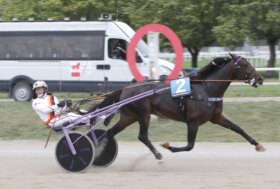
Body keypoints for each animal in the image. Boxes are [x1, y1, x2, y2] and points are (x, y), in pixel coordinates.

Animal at [93, 53, 264, 159]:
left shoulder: (216, 117)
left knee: (110, 133)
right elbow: (189, 146)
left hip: (129, 116)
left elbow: (238, 128)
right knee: (142, 136)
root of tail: (126, 88)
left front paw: (258, 145)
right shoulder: (193, 122)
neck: (206, 89)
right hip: (143, 114)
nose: (260, 79)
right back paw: (158, 154)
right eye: (245, 64)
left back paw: (99, 151)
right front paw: (168, 146)